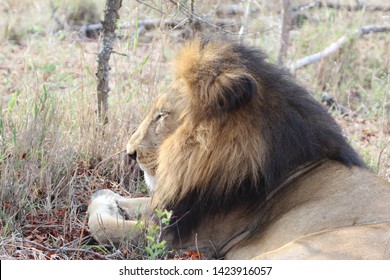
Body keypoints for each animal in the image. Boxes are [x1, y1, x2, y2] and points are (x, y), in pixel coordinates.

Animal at [88, 36, 390, 260]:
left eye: (162, 115)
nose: (130, 153)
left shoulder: (183, 238)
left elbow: (102, 226)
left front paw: (106, 207)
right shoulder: (182, 205)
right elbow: (134, 202)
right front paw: (109, 198)